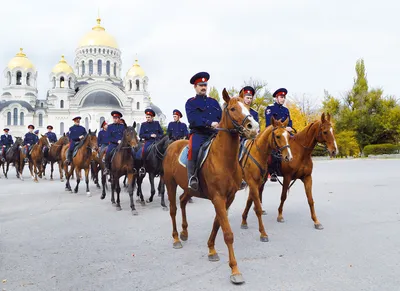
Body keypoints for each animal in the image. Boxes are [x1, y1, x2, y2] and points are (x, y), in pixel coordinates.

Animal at [162, 89, 260, 286]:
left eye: (248, 107)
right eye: (233, 108)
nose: (253, 127)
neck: (224, 159)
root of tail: (172, 145)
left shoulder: (227, 198)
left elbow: (217, 223)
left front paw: (211, 250)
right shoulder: (217, 197)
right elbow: (228, 233)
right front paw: (235, 270)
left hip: (189, 188)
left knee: (182, 202)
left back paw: (184, 232)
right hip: (170, 183)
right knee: (173, 209)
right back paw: (176, 238)